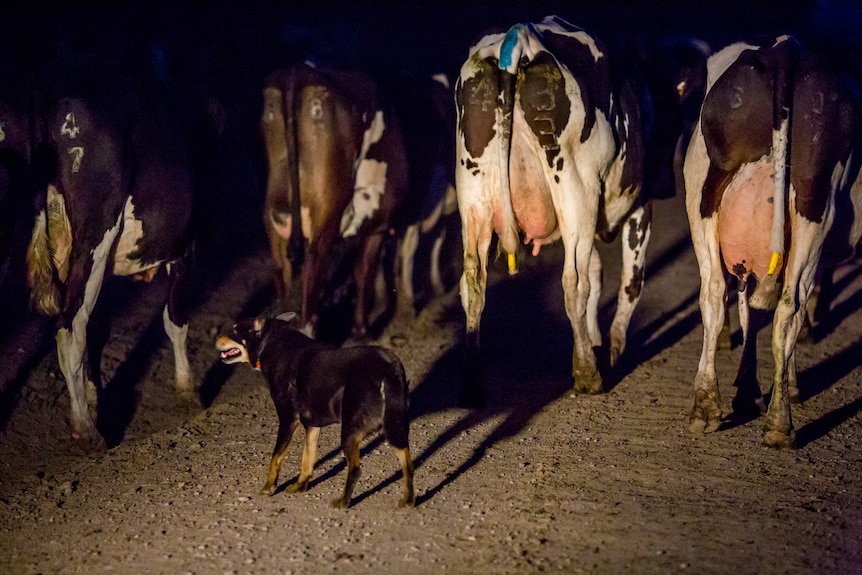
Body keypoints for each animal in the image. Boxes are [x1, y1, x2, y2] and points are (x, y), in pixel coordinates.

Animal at [26, 62, 198, 450]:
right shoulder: (187, 247)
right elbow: (175, 321)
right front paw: (188, 393)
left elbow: (99, 330)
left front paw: (95, 399)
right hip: (96, 234)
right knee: (69, 330)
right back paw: (86, 431)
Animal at [218, 316, 416, 508]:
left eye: (235, 330)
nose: (216, 340)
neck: (269, 342)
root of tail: (388, 367)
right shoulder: (312, 426)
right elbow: (307, 459)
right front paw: (300, 486)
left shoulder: (288, 420)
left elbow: (275, 458)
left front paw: (269, 487)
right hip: (396, 426)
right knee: (408, 465)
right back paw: (408, 500)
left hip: (350, 432)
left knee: (355, 469)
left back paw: (343, 502)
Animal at [262, 62, 452, 342]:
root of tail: (299, 73)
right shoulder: (385, 221)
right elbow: (372, 268)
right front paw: (367, 328)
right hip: (324, 219)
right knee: (312, 275)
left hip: (275, 213)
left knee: (281, 271)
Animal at [456, 15, 672, 408]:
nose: (668, 183)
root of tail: (520, 36)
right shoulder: (640, 206)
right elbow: (630, 280)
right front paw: (612, 347)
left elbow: (600, 271)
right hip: (575, 190)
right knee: (574, 282)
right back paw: (587, 373)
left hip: (473, 190)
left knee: (473, 281)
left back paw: (472, 384)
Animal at [684, 36, 860, 450]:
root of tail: (785, 49)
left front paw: (749, 391)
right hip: (814, 201)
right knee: (784, 307)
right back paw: (776, 422)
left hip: (709, 195)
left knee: (721, 296)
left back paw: (712, 409)